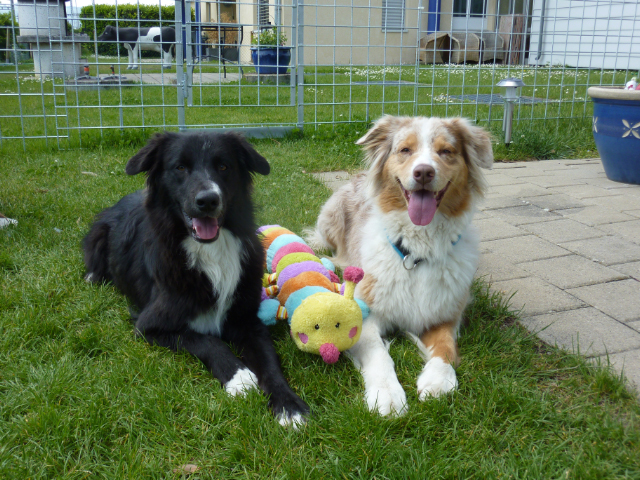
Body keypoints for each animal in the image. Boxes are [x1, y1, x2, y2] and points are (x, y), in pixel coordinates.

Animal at [83, 131, 309, 426]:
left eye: (223, 166)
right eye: (180, 167)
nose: (208, 200)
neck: (210, 250)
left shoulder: (248, 319)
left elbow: (270, 363)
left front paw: (288, 405)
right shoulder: (149, 326)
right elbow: (205, 340)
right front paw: (239, 376)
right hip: (97, 233)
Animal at [308, 115, 493, 416]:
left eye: (446, 151)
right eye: (405, 150)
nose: (424, 172)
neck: (415, 253)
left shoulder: (446, 315)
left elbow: (445, 348)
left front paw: (438, 380)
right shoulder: (364, 315)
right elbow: (378, 354)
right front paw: (386, 394)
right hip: (330, 217)